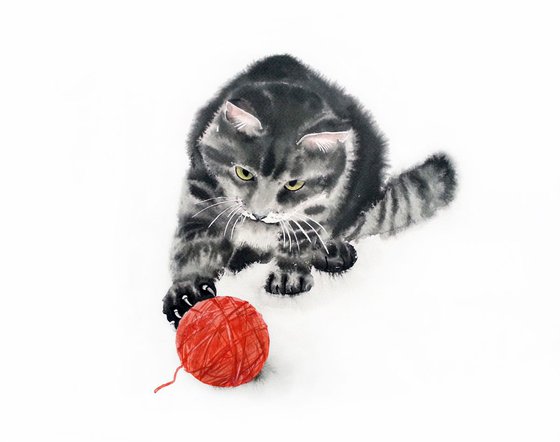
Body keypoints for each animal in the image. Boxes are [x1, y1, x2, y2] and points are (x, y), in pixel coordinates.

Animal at [162, 54, 456, 328]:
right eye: (244, 173)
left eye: (294, 184)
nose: (259, 213)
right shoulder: (202, 192)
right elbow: (193, 245)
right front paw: (187, 290)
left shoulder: (319, 207)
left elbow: (299, 240)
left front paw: (289, 274)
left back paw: (332, 250)